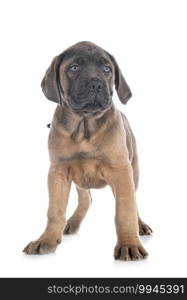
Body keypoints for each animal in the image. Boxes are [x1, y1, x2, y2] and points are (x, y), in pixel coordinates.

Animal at [23, 41, 152, 258]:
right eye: (74, 68)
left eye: (107, 69)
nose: (96, 84)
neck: (84, 125)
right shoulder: (58, 172)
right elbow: (54, 211)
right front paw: (46, 240)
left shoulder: (121, 171)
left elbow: (125, 211)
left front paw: (129, 244)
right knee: (86, 198)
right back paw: (72, 222)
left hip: (134, 170)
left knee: (132, 201)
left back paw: (140, 225)